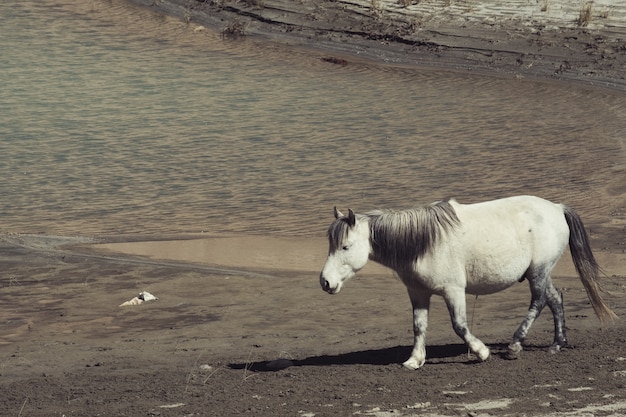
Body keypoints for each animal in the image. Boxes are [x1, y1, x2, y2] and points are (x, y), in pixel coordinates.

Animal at [320, 195, 612, 368]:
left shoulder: (453, 291)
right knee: (555, 299)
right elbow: (418, 327)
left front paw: (481, 352)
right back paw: (557, 343)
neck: (423, 242)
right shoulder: (418, 293)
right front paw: (415, 360)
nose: (325, 282)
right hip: (538, 272)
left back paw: (515, 345)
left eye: (345, 247)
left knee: (538, 302)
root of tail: (557, 209)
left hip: (538, 272)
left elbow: (459, 325)